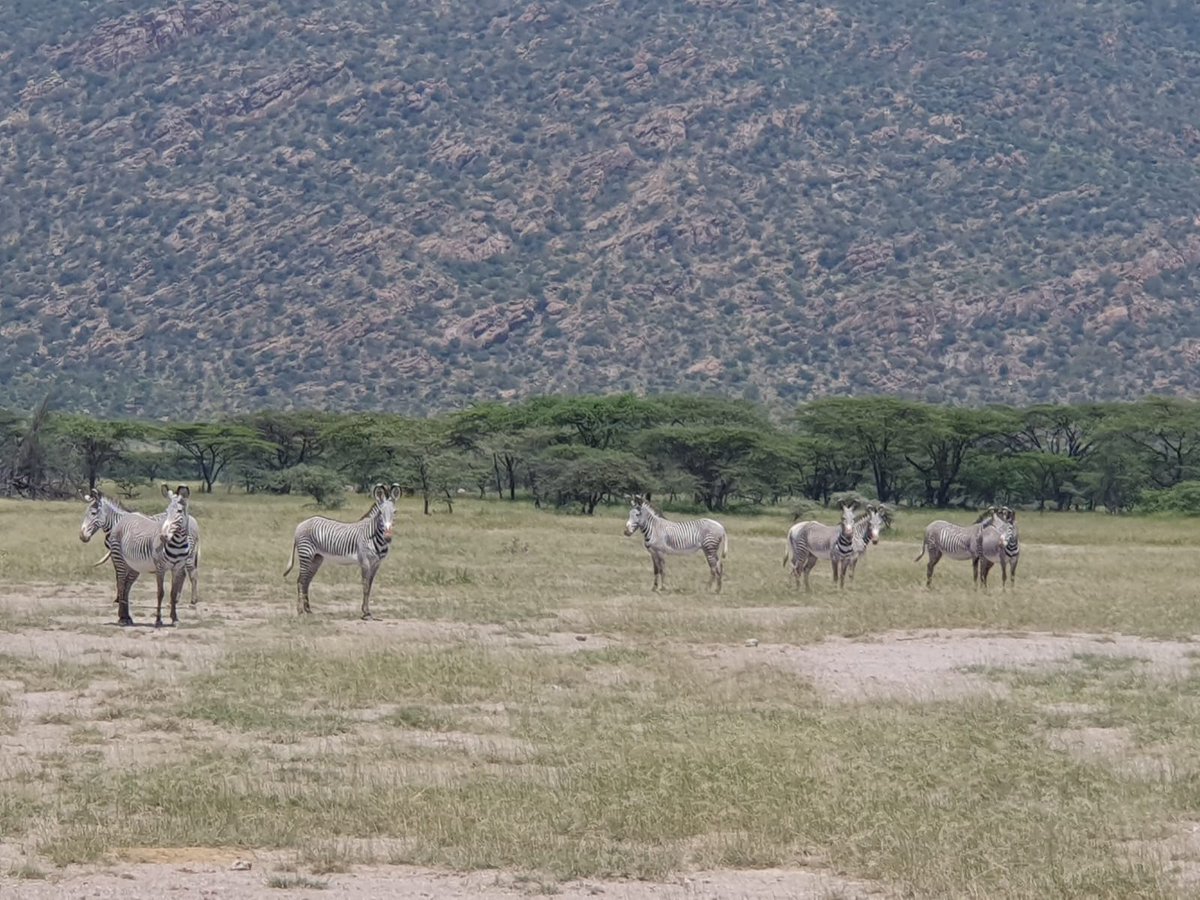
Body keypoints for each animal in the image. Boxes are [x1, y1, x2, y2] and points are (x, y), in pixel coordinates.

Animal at [283, 483, 401, 619]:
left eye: (395, 512)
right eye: (381, 513)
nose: (388, 537)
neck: (373, 535)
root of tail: (301, 524)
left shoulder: (377, 563)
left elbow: (370, 586)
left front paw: (367, 611)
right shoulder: (365, 562)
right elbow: (365, 586)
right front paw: (365, 612)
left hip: (316, 558)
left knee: (306, 581)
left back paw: (308, 610)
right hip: (305, 554)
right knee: (300, 581)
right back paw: (300, 611)